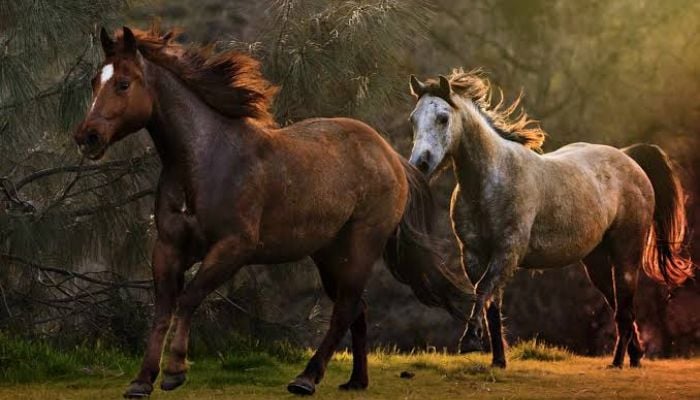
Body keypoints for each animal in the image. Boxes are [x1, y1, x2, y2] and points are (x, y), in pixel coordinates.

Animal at [73, 26, 471, 398]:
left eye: (123, 83)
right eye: (95, 81)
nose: (87, 137)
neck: (206, 161)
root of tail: (390, 156)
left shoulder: (234, 247)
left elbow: (188, 299)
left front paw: (174, 372)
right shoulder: (168, 248)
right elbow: (162, 311)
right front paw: (141, 381)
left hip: (360, 248)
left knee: (344, 310)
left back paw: (306, 379)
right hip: (328, 256)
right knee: (357, 308)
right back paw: (356, 381)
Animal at [407, 69, 694, 369]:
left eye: (443, 117)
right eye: (413, 119)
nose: (421, 164)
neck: (491, 179)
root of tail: (628, 158)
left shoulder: (507, 251)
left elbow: (483, 289)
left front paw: (471, 341)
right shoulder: (473, 254)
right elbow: (488, 300)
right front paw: (497, 360)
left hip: (627, 253)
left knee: (625, 310)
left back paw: (617, 363)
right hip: (597, 262)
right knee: (621, 308)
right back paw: (635, 357)